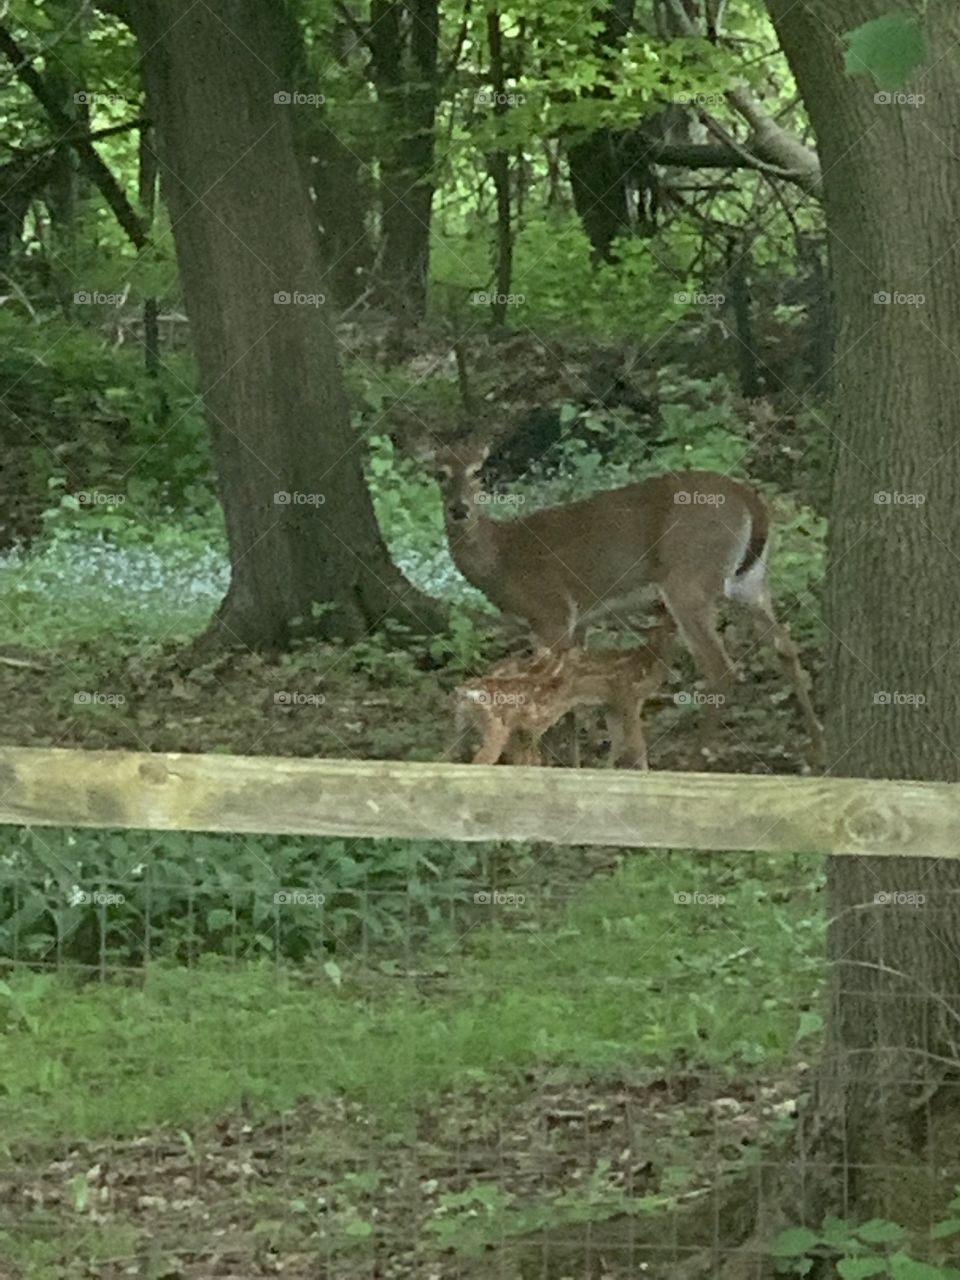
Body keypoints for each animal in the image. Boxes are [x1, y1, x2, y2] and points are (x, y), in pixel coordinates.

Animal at [451, 642, 671, 768]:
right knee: (481, 761)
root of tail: (465, 692)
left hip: (460, 729)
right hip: (495, 728)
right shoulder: (533, 727)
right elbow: (531, 760)